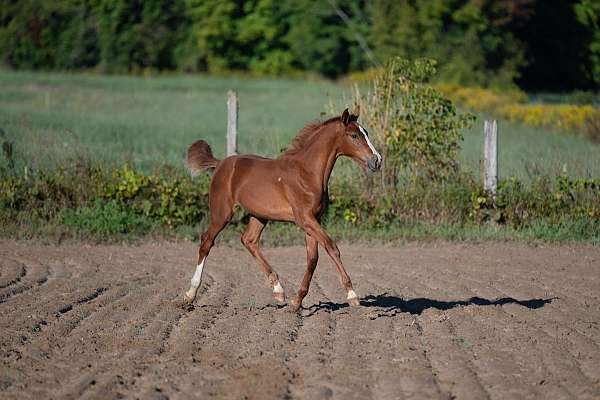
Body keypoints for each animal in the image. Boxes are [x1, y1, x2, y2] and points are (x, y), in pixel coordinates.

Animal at [180, 109, 382, 312]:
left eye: (366, 133)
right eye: (354, 135)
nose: (377, 160)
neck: (307, 173)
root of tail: (220, 163)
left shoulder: (314, 220)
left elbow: (312, 258)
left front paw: (297, 301)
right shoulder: (304, 219)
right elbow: (332, 247)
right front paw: (352, 295)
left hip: (259, 215)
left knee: (249, 240)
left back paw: (278, 290)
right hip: (222, 213)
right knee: (206, 241)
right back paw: (190, 294)